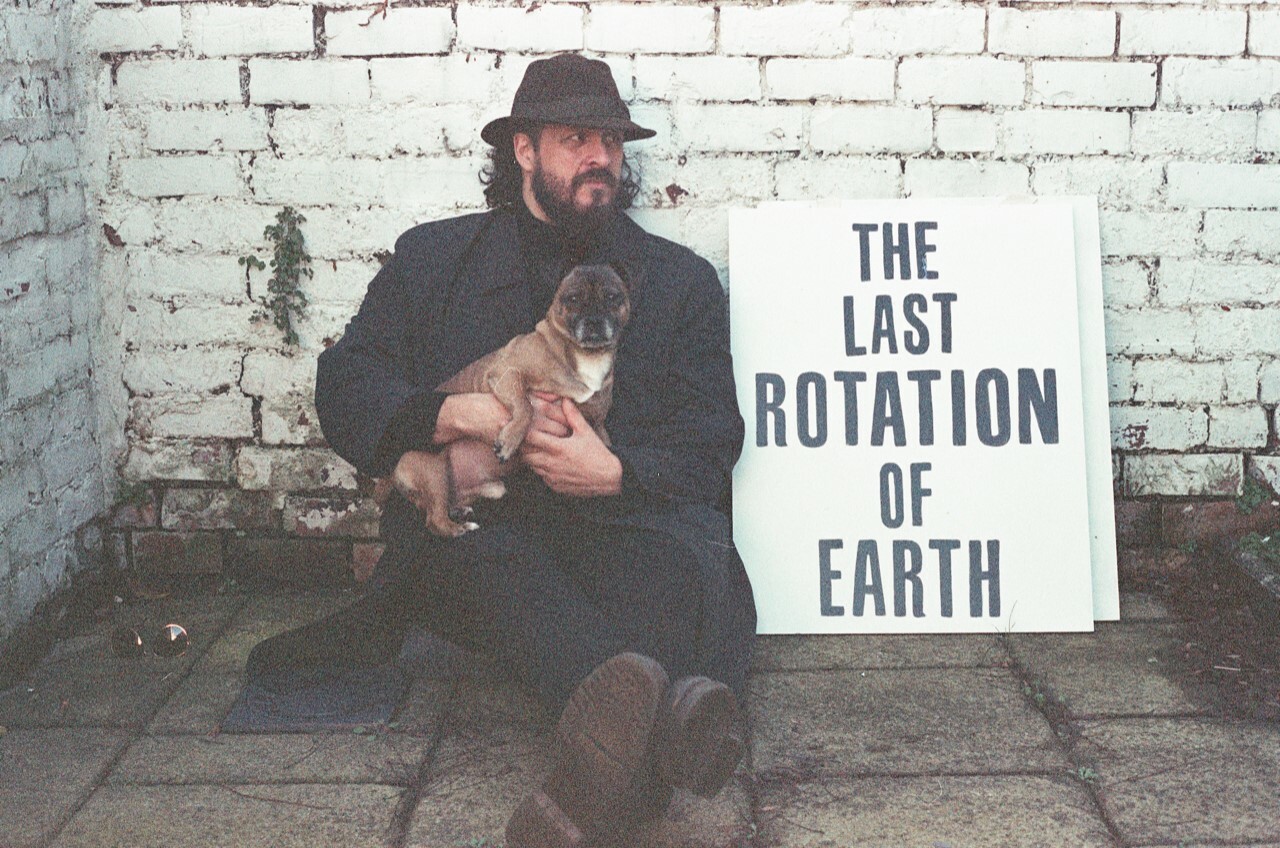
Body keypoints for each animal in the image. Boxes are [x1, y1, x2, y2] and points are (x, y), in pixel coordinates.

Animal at [371, 263, 629, 538]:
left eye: (612, 297)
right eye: (573, 299)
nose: (593, 321)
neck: (586, 355)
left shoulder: (597, 424)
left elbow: (603, 446)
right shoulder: (507, 374)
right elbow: (525, 407)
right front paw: (510, 440)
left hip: (492, 487)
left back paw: (459, 512)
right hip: (434, 468)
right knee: (434, 520)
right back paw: (460, 528)